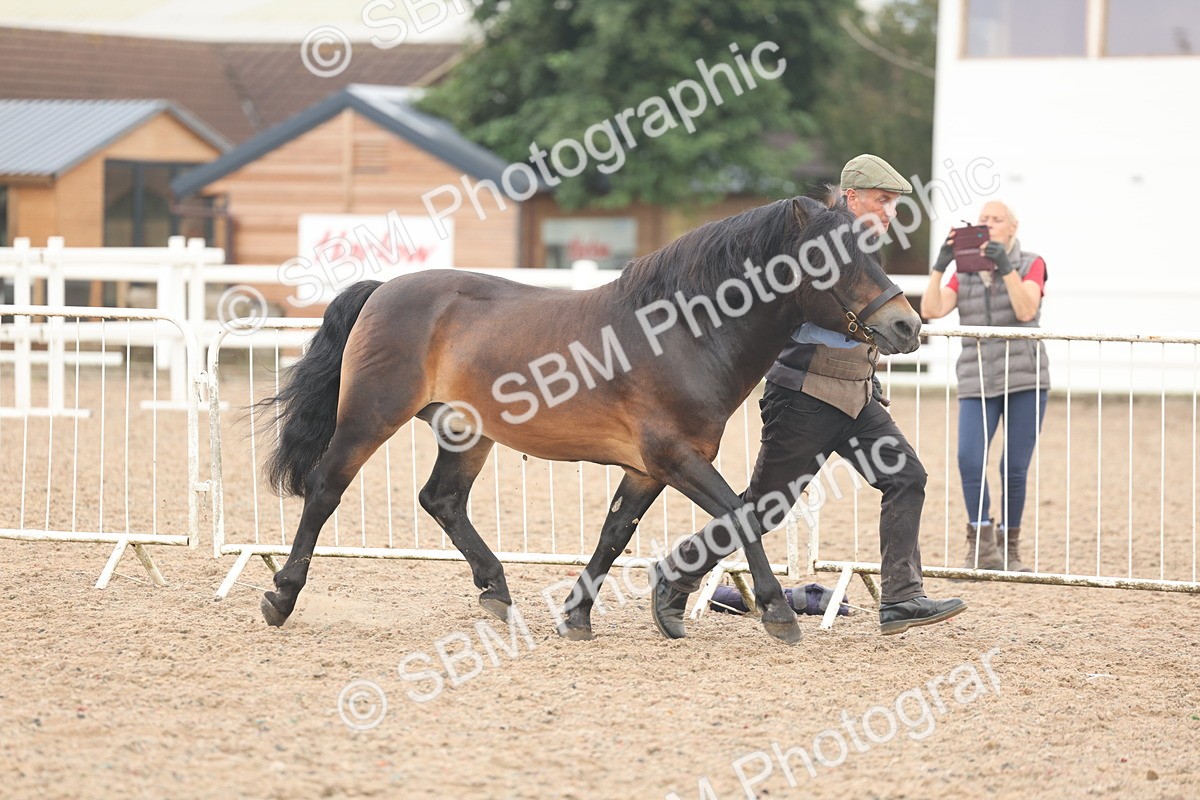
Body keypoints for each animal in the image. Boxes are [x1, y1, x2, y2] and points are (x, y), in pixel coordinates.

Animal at [257, 193, 922, 644]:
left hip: (465, 433)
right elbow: (738, 514)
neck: (682, 333)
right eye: (828, 258)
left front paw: (579, 614)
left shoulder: (648, 470)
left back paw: (496, 590)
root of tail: (383, 290)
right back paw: (282, 597)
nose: (907, 325)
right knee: (325, 490)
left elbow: (614, 533)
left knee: (441, 500)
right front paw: (779, 612)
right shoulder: (676, 459)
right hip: (371, 416)